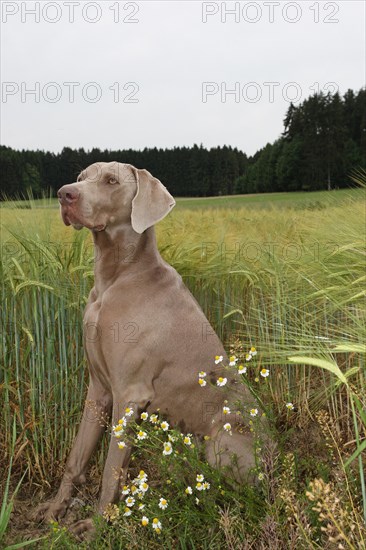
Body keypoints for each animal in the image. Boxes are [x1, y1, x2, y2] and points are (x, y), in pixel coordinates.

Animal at [35, 162, 256, 536]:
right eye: (80, 177)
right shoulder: (98, 388)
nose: (64, 194)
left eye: (111, 180)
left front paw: (96, 528)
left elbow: (111, 471)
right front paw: (55, 510)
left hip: (221, 441)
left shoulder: (129, 394)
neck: (115, 277)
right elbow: (76, 458)